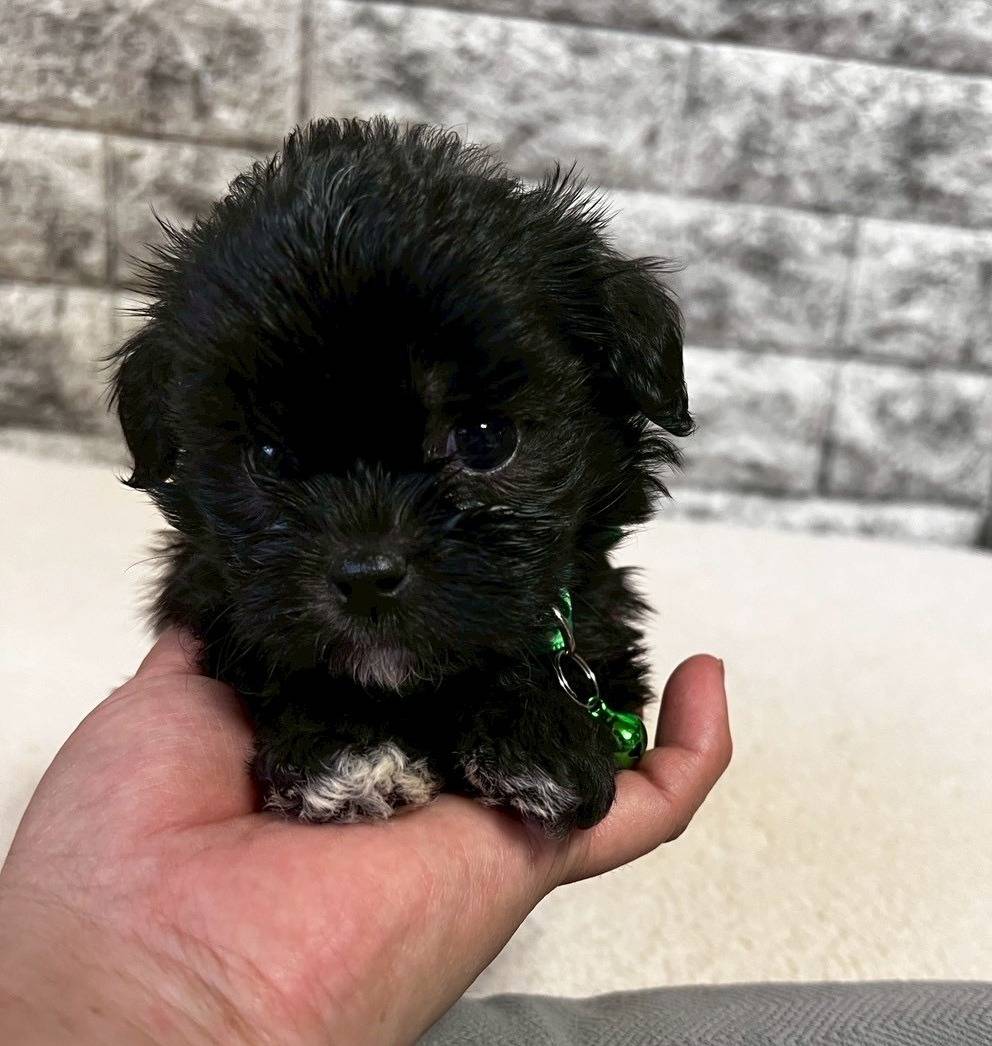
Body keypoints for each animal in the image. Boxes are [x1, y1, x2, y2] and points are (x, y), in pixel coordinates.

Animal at [110, 117, 692, 835]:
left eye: (484, 439)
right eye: (268, 458)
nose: (366, 577)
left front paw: (541, 736)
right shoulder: (221, 601)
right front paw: (348, 753)